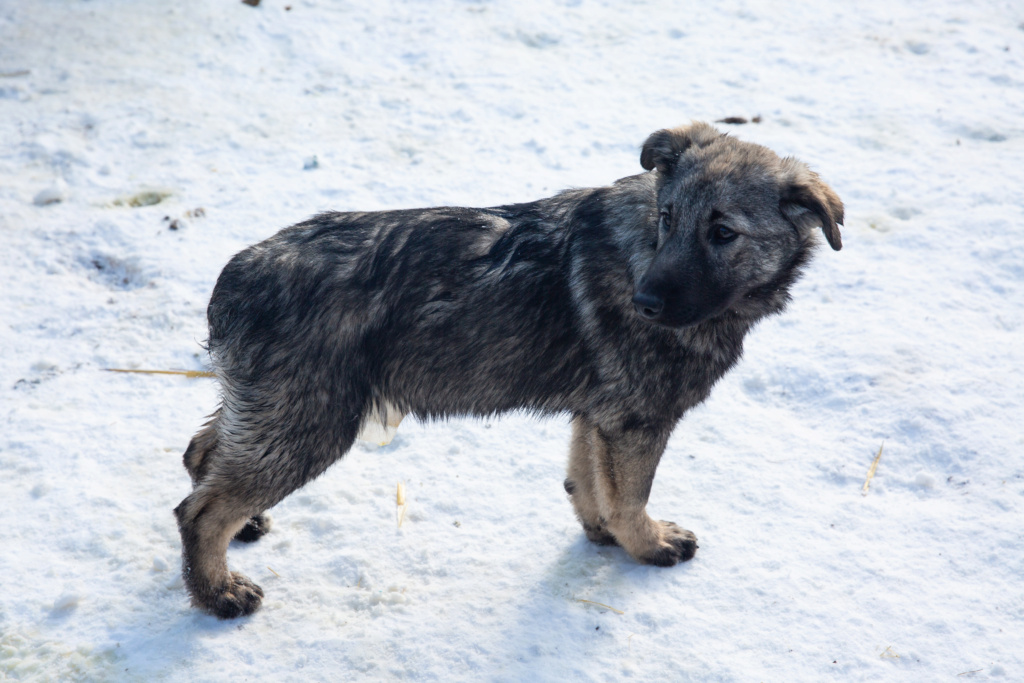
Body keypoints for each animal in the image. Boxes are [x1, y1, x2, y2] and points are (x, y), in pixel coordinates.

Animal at [174, 122, 839, 618]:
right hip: (309, 424)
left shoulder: (598, 416)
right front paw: (647, 544)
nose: (646, 303)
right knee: (198, 511)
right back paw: (218, 593)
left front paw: (601, 534)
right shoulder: (636, 422)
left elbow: (588, 483)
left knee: (201, 453)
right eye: (667, 217)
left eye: (723, 232)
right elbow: (630, 496)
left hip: (271, 412)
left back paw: (242, 532)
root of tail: (235, 278)